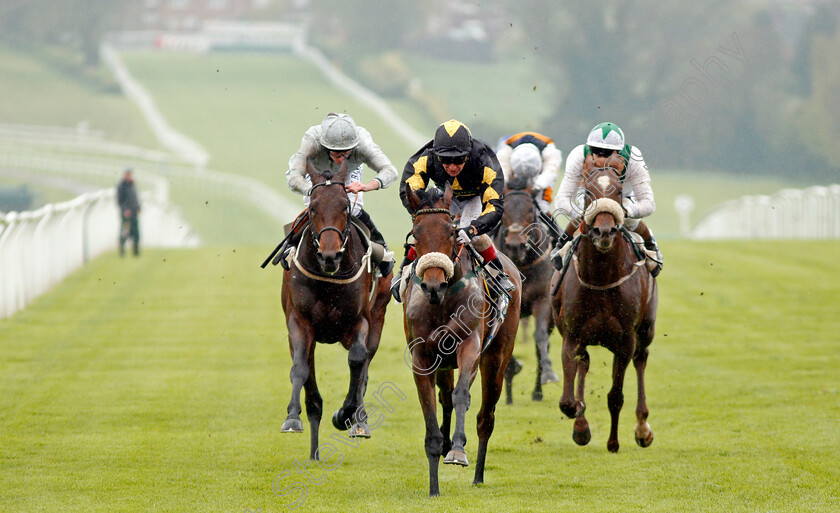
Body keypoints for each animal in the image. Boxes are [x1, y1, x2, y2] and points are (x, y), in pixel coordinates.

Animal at [278, 158, 390, 458]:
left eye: (345, 206)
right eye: (313, 207)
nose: (330, 256)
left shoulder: (359, 321)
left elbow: (357, 360)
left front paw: (345, 414)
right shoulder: (299, 322)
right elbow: (300, 368)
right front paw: (292, 418)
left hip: (379, 313)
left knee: (365, 364)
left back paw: (359, 422)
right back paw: (314, 450)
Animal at [404, 185, 520, 496]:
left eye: (450, 231)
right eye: (416, 233)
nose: (433, 285)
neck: (441, 302)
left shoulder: (470, 345)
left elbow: (462, 396)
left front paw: (457, 451)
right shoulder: (422, 357)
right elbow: (430, 410)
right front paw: (434, 486)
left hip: (496, 359)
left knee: (485, 417)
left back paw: (478, 474)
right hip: (444, 365)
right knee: (445, 398)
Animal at [496, 185, 560, 404]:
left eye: (530, 209)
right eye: (504, 210)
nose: (516, 245)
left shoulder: (543, 301)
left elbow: (540, 337)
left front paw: (548, 373)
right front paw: (512, 368)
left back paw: (537, 391)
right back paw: (508, 394)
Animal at [548, 153, 660, 452]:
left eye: (619, 192)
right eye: (587, 192)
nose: (604, 231)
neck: (600, 279)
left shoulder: (625, 341)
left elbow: (615, 395)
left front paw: (613, 442)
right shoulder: (571, 335)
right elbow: (567, 401)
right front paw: (580, 423)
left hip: (646, 329)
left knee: (642, 360)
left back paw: (643, 428)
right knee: (584, 364)